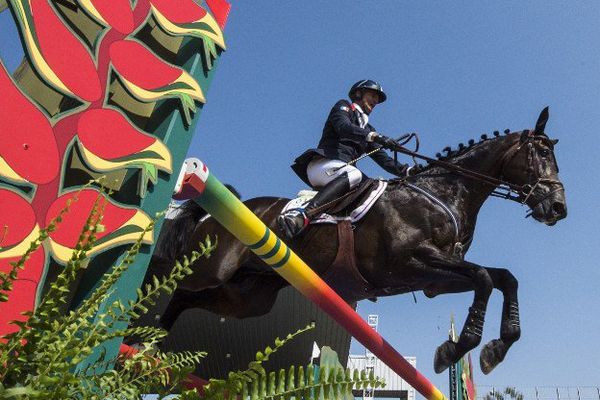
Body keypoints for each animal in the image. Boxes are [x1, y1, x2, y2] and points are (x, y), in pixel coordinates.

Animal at [149, 107, 568, 376]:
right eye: (541, 153)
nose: (558, 207)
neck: (443, 192)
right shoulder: (411, 262)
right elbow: (483, 277)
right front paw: (456, 347)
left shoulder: (432, 279)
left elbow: (503, 278)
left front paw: (497, 347)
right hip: (214, 268)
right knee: (175, 286)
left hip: (246, 296)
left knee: (188, 299)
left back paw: (153, 346)